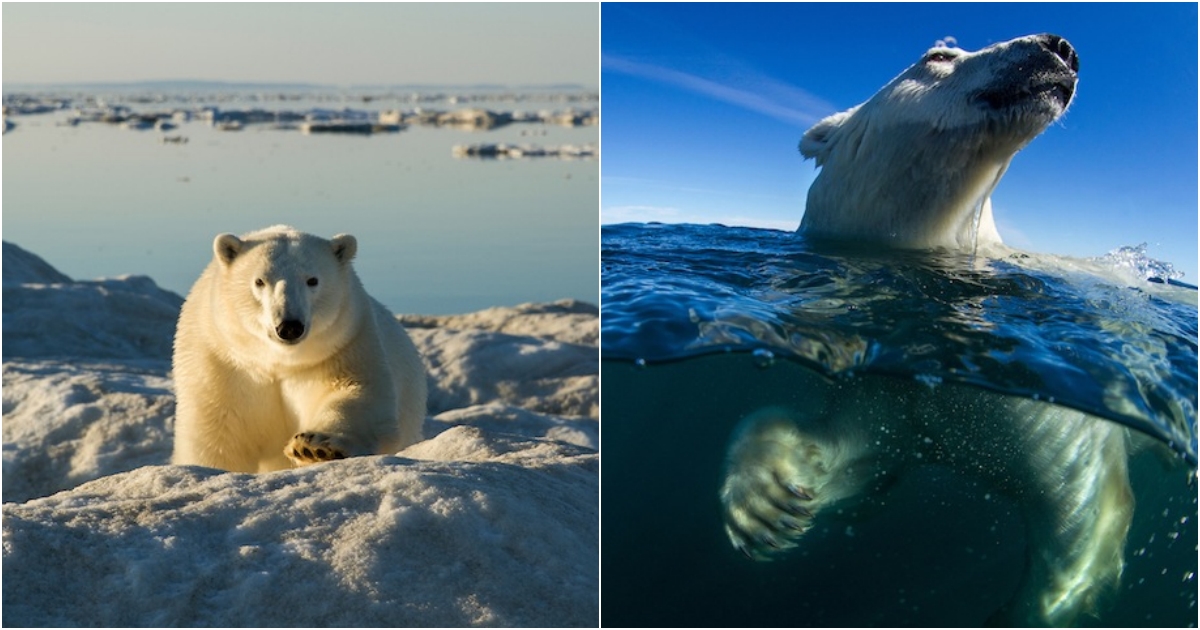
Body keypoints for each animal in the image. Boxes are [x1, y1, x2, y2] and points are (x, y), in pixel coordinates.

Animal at [171, 225, 427, 470]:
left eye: (312, 280)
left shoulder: (344, 345)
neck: (279, 361)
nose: (289, 326)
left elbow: (358, 395)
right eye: (259, 281)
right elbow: (218, 434)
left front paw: (315, 447)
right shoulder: (223, 362)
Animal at [715, 34, 1137, 624]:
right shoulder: (895, 395)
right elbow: (855, 456)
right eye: (938, 57)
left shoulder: (1064, 424)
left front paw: (1027, 608)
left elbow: (1083, 522)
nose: (1059, 48)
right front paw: (765, 503)